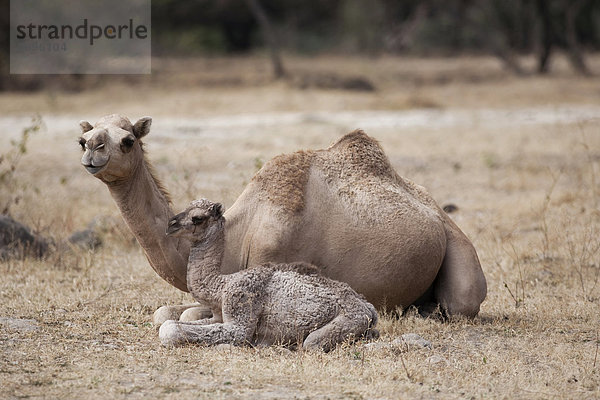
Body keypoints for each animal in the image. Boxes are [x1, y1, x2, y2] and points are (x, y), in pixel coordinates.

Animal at [77, 114, 486, 324]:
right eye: (85, 138)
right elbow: (165, 311)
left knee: (461, 303)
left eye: (127, 140)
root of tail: (435, 211)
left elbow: (191, 314)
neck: (236, 236)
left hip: (459, 253)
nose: (93, 150)